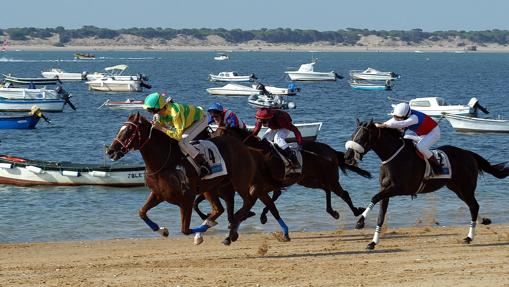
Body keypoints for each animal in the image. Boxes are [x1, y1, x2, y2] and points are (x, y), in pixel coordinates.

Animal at [106, 113, 290, 246]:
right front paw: (162, 230)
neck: (165, 162)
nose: (110, 150)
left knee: (248, 201)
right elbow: (142, 212)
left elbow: (185, 229)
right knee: (220, 209)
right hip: (215, 187)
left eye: (128, 132)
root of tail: (244, 146)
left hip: (240, 181)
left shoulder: (186, 198)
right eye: (120, 129)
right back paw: (228, 228)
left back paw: (233, 226)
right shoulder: (158, 194)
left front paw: (199, 235)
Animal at [193, 127, 370, 226]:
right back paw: (332, 211)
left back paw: (356, 212)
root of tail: (331, 150)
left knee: (343, 193)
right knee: (327, 190)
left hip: (330, 178)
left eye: (216, 133)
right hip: (309, 180)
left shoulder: (266, 184)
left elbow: (268, 199)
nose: (210, 148)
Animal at [344, 119, 506, 250]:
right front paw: (373, 242)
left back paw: (469, 237)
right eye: (352, 135)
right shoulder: (386, 190)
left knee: (474, 206)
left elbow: (374, 198)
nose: (347, 157)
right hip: (456, 188)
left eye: (362, 137)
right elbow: (380, 215)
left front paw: (360, 222)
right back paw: (483, 221)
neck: (394, 157)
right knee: (472, 206)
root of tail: (469, 154)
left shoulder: (398, 188)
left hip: (465, 187)